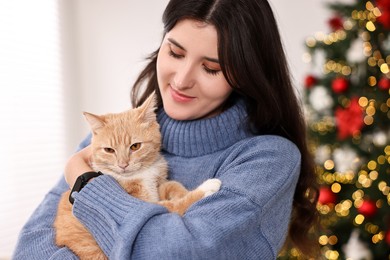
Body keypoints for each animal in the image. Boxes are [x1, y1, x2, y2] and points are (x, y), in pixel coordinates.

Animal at [53, 92, 221, 258]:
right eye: (109, 150)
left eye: (135, 146)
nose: (123, 165)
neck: (141, 174)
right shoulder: (144, 203)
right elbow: (174, 205)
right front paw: (205, 189)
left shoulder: (156, 187)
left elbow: (172, 185)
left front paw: (183, 191)